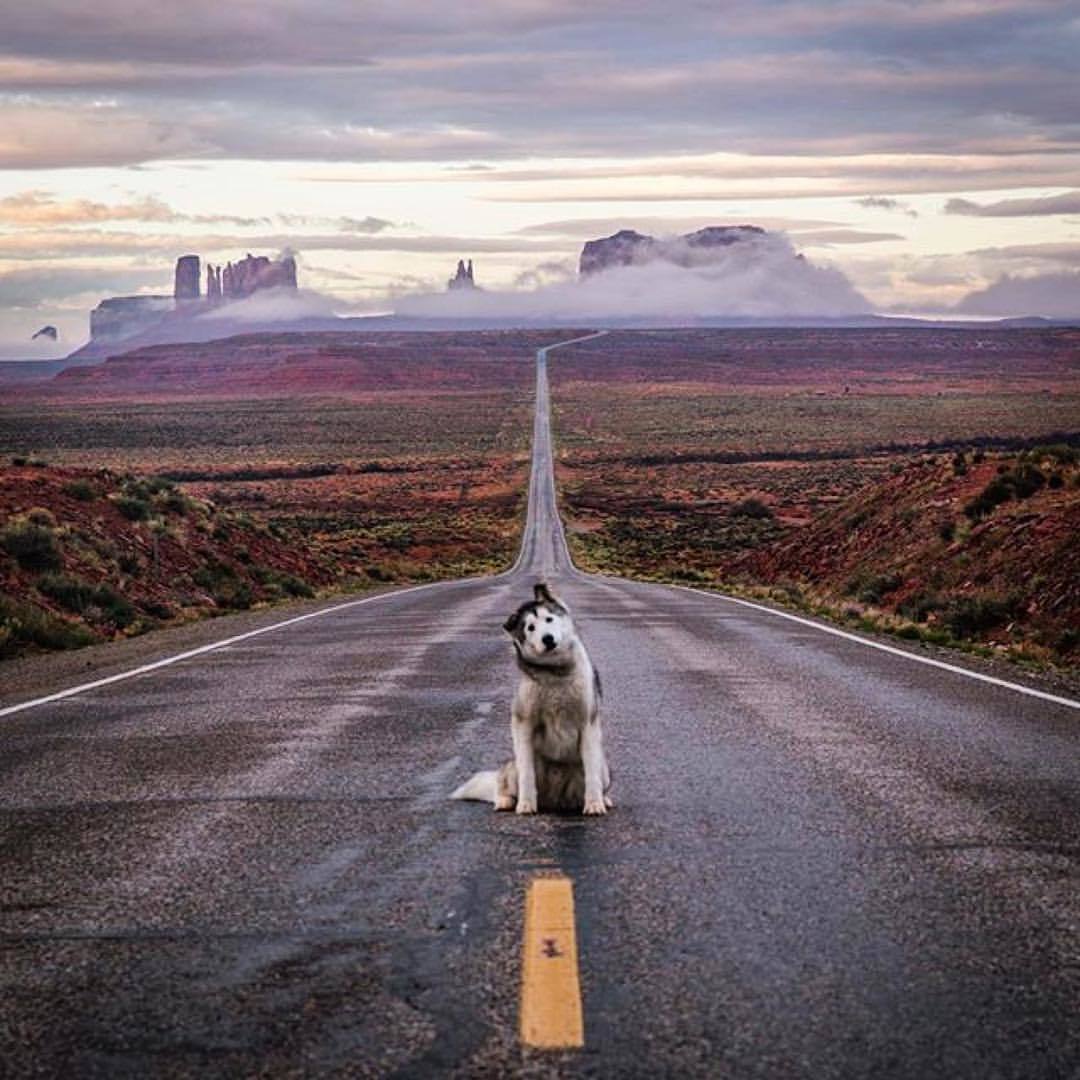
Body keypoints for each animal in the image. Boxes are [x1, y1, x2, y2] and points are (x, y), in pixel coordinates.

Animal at [451, 587, 613, 812]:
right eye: (530, 627)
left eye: (549, 619)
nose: (548, 639)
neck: (555, 673)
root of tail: (554, 800)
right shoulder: (523, 723)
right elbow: (527, 775)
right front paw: (526, 804)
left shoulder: (588, 723)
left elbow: (591, 773)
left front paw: (595, 804)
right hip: (514, 767)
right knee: (503, 782)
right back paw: (506, 801)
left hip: (604, 768)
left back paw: (603, 799)